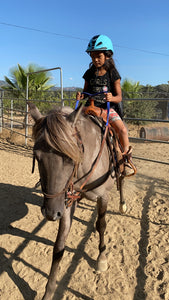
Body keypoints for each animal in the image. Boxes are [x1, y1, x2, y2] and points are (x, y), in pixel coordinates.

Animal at [28, 102, 126, 298]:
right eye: (37, 156)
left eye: (69, 157)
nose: (50, 213)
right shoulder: (65, 204)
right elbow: (59, 246)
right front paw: (49, 291)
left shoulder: (103, 197)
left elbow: (101, 225)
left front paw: (102, 258)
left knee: (122, 180)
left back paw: (122, 204)